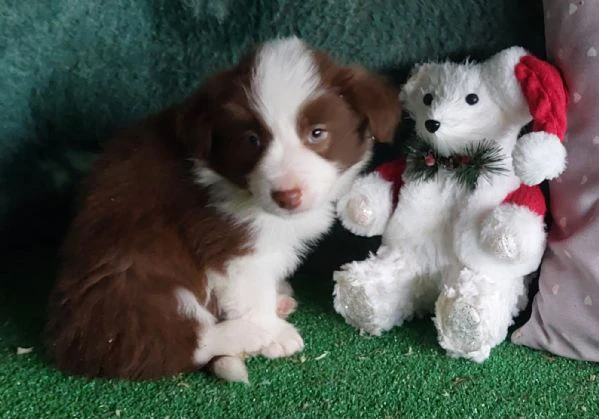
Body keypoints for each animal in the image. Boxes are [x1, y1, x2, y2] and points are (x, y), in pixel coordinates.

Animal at [45, 37, 404, 384]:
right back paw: (247, 334)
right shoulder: (228, 242)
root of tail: (69, 344)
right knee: (162, 344)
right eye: (251, 140)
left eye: (317, 133)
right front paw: (272, 333)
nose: (287, 197)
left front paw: (276, 294)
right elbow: (250, 291)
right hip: (133, 279)